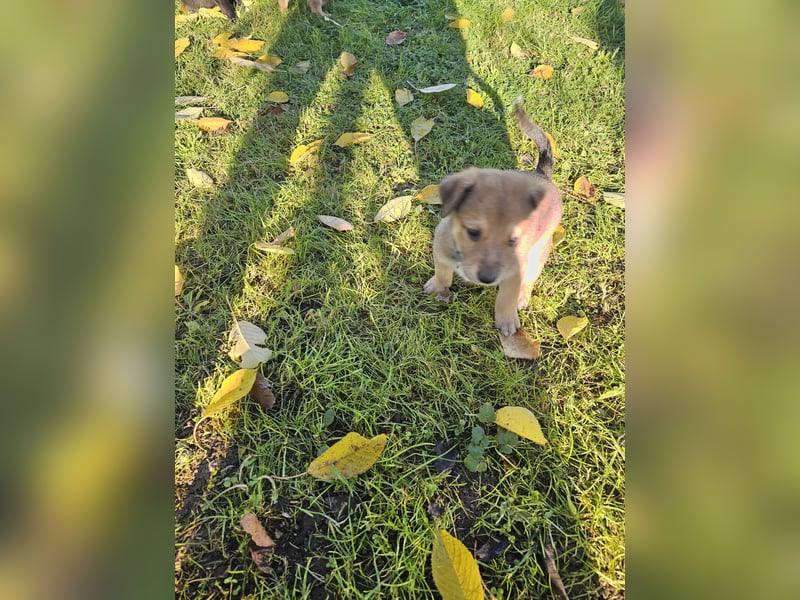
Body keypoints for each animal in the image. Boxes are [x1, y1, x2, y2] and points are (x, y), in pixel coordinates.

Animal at [424, 96, 564, 336]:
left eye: (513, 240)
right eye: (473, 232)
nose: (487, 279)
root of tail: (541, 174)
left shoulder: (514, 271)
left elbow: (506, 298)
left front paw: (507, 320)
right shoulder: (440, 250)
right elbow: (442, 272)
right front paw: (437, 285)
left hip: (539, 252)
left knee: (530, 277)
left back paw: (522, 296)